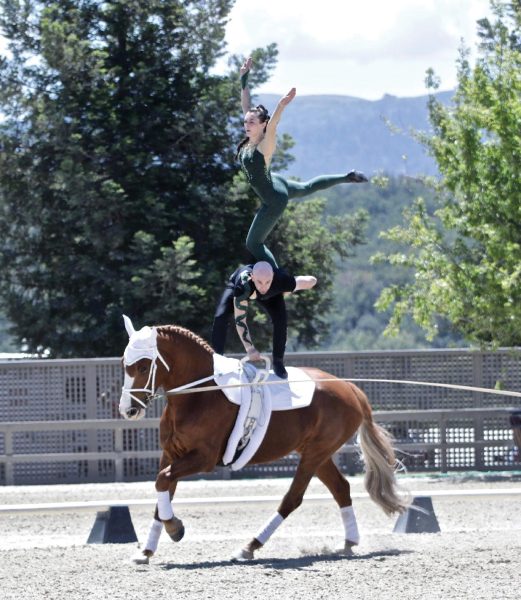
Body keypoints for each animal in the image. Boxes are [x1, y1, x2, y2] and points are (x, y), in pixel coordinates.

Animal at [118, 316, 406, 564]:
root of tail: (350, 388)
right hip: (318, 453)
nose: (127, 410)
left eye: (143, 366)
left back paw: (249, 546)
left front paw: (175, 528)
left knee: (293, 499)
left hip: (315, 454)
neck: (198, 395)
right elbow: (162, 489)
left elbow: (162, 481)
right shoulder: (171, 454)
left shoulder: (203, 458)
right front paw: (146, 551)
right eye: (124, 364)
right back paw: (349, 542)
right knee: (341, 488)